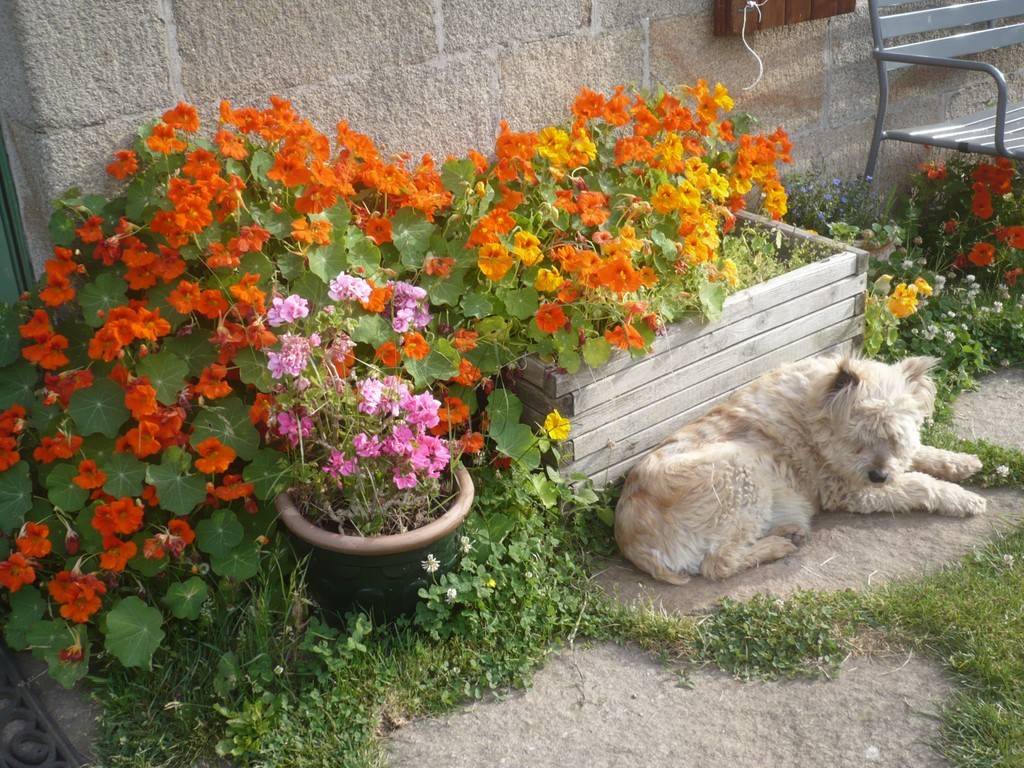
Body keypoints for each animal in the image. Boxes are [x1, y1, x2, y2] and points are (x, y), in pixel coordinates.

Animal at [614, 355, 985, 584]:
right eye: (858, 440)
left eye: (895, 438)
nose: (879, 476)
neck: (817, 409)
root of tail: (631, 542)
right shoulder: (851, 490)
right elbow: (920, 484)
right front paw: (963, 498)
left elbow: (922, 455)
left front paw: (962, 462)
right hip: (741, 471)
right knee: (719, 563)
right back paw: (777, 546)